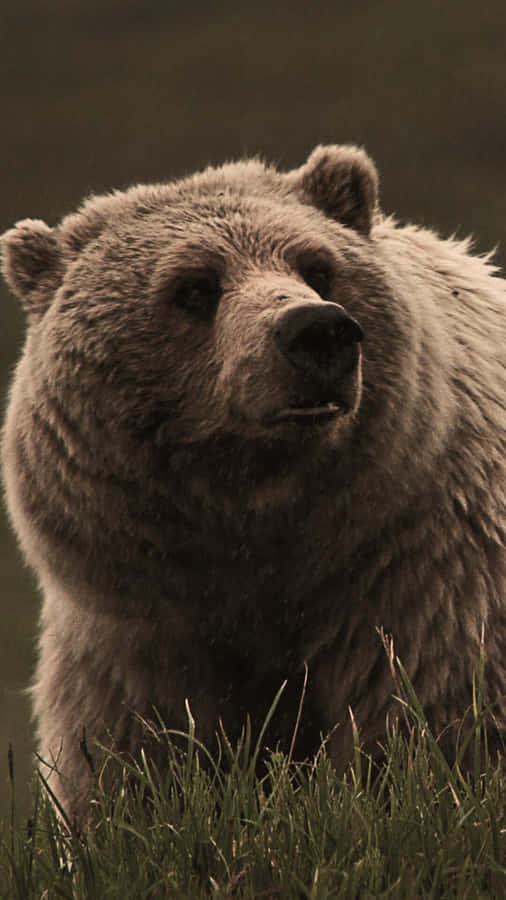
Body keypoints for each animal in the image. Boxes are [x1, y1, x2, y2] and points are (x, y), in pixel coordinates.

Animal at [2, 144, 506, 818]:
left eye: (318, 266)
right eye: (194, 286)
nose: (317, 329)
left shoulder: (425, 586)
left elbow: (428, 735)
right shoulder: (135, 638)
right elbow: (128, 771)